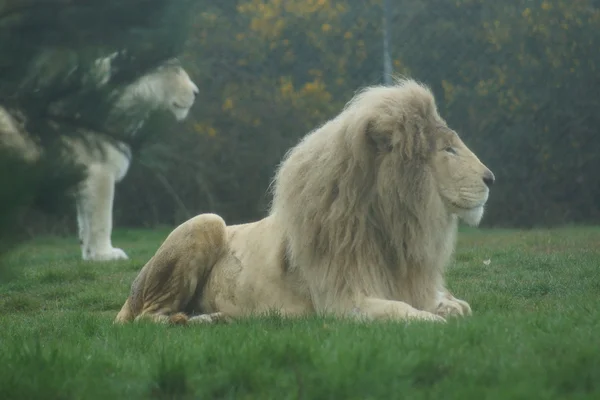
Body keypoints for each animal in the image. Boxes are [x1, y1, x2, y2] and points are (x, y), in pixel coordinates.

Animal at [0, 57, 199, 260]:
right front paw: (106, 254)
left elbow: (84, 221)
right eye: (176, 70)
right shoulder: (99, 169)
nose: (196, 92)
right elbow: (101, 217)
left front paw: (90, 256)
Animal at [115, 78, 494, 324]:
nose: (492, 178)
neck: (394, 220)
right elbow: (399, 311)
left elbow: (454, 303)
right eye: (448, 149)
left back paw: (217, 317)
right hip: (205, 221)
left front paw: (450, 308)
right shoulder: (341, 300)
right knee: (146, 319)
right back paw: (189, 320)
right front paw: (432, 321)